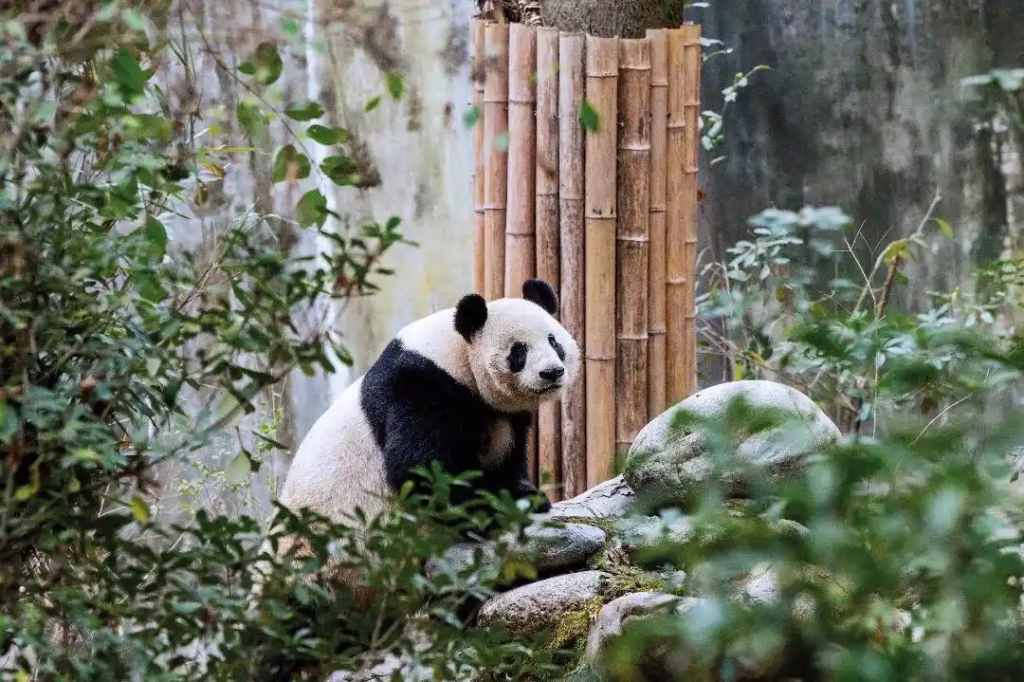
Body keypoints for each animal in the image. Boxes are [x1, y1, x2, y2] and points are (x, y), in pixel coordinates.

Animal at [273, 277, 580, 596]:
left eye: (553, 342)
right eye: (518, 351)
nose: (552, 372)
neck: (457, 356)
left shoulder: (502, 415)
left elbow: (506, 457)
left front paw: (524, 495)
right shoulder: (420, 387)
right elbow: (420, 468)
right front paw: (488, 511)